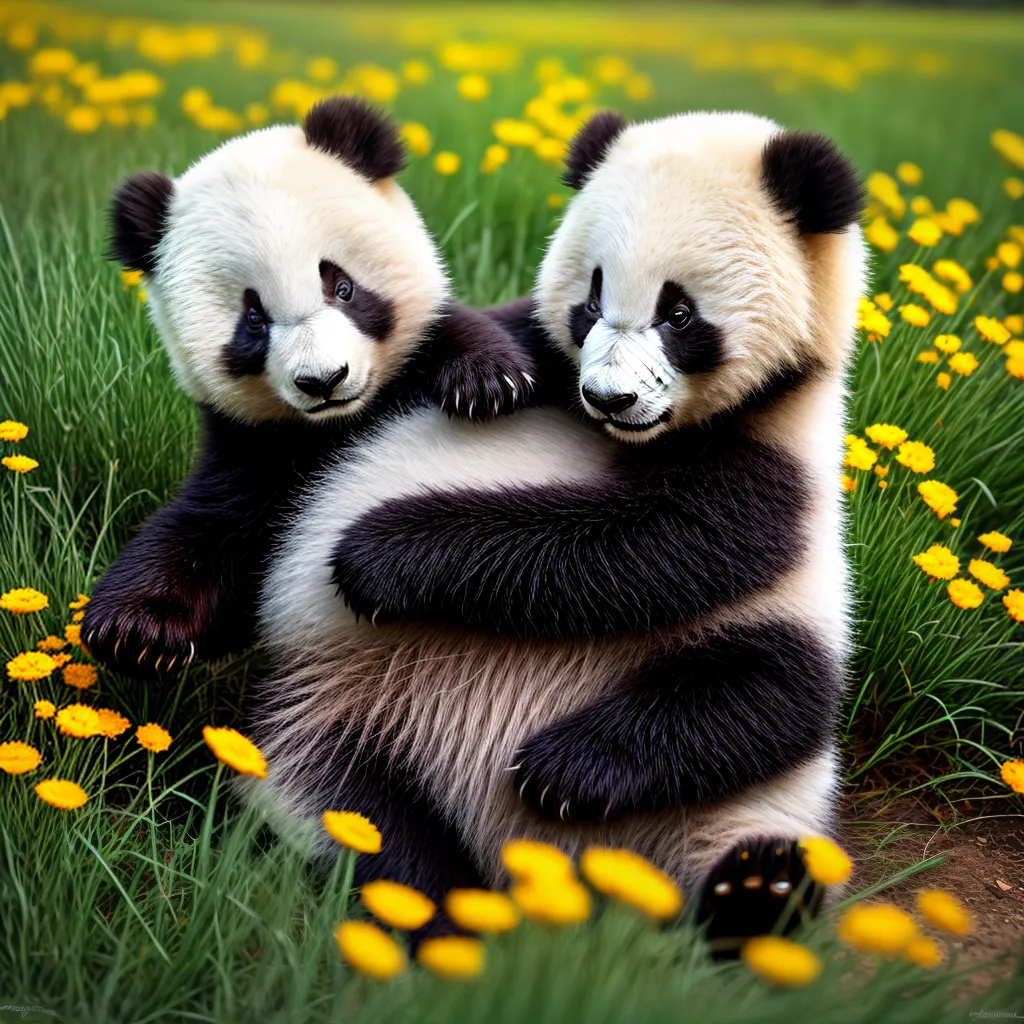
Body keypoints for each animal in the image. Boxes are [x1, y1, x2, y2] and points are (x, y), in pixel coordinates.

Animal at [81, 97, 533, 676]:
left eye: (341, 286)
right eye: (253, 320)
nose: (324, 381)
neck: (341, 422)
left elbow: (458, 340)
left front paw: (485, 383)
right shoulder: (254, 446)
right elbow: (208, 531)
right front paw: (133, 629)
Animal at [251, 109, 866, 948]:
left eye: (679, 313)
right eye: (592, 298)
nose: (609, 397)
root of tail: (553, 867)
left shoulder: (773, 473)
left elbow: (638, 549)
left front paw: (379, 557)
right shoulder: (535, 346)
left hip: (745, 747)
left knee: (761, 694)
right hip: (334, 726)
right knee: (360, 824)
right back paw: (451, 912)